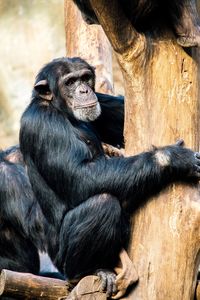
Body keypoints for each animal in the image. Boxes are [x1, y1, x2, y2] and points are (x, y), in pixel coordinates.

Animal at [19, 57, 200, 296]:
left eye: (85, 77)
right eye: (70, 82)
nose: (84, 90)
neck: (60, 109)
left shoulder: (101, 104)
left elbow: (121, 110)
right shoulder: (44, 125)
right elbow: (81, 176)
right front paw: (172, 157)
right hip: (62, 262)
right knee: (102, 203)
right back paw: (91, 271)